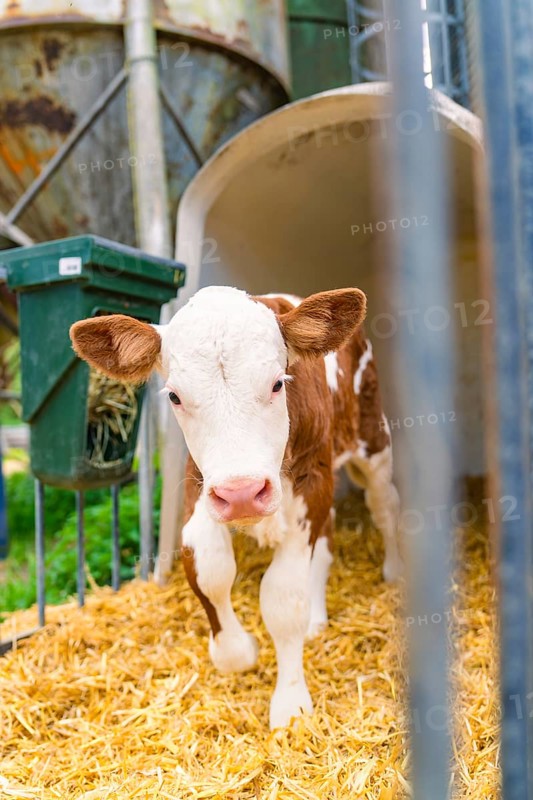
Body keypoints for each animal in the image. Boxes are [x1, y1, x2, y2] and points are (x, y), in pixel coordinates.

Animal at [70, 286, 403, 729]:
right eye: (174, 396)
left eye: (278, 384)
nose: (243, 492)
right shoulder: (200, 484)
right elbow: (208, 569)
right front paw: (237, 652)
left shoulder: (313, 484)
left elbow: (283, 597)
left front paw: (290, 703)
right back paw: (317, 618)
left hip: (372, 438)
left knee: (384, 506)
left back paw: (393, 569)